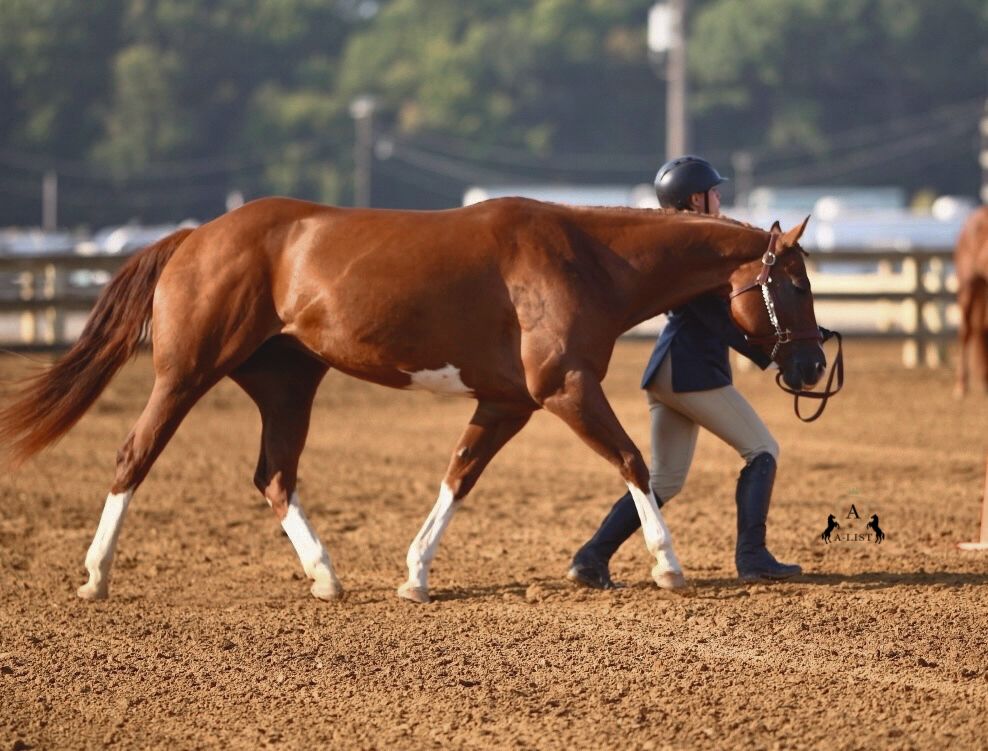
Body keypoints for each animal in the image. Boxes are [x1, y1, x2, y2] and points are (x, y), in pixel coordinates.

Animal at [0, 197, 829, 604]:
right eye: (794, 283)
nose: (814, 361)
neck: (584, 256)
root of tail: (194, 236)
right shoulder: (565, 389)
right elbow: (633, 461)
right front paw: (667, 564)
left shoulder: (506, 404)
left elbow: (456, 479)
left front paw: (414, 574)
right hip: (185, 373)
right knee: (133, 456)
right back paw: (96, 576)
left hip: (288, 384)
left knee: (275, 476)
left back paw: (326, 576)